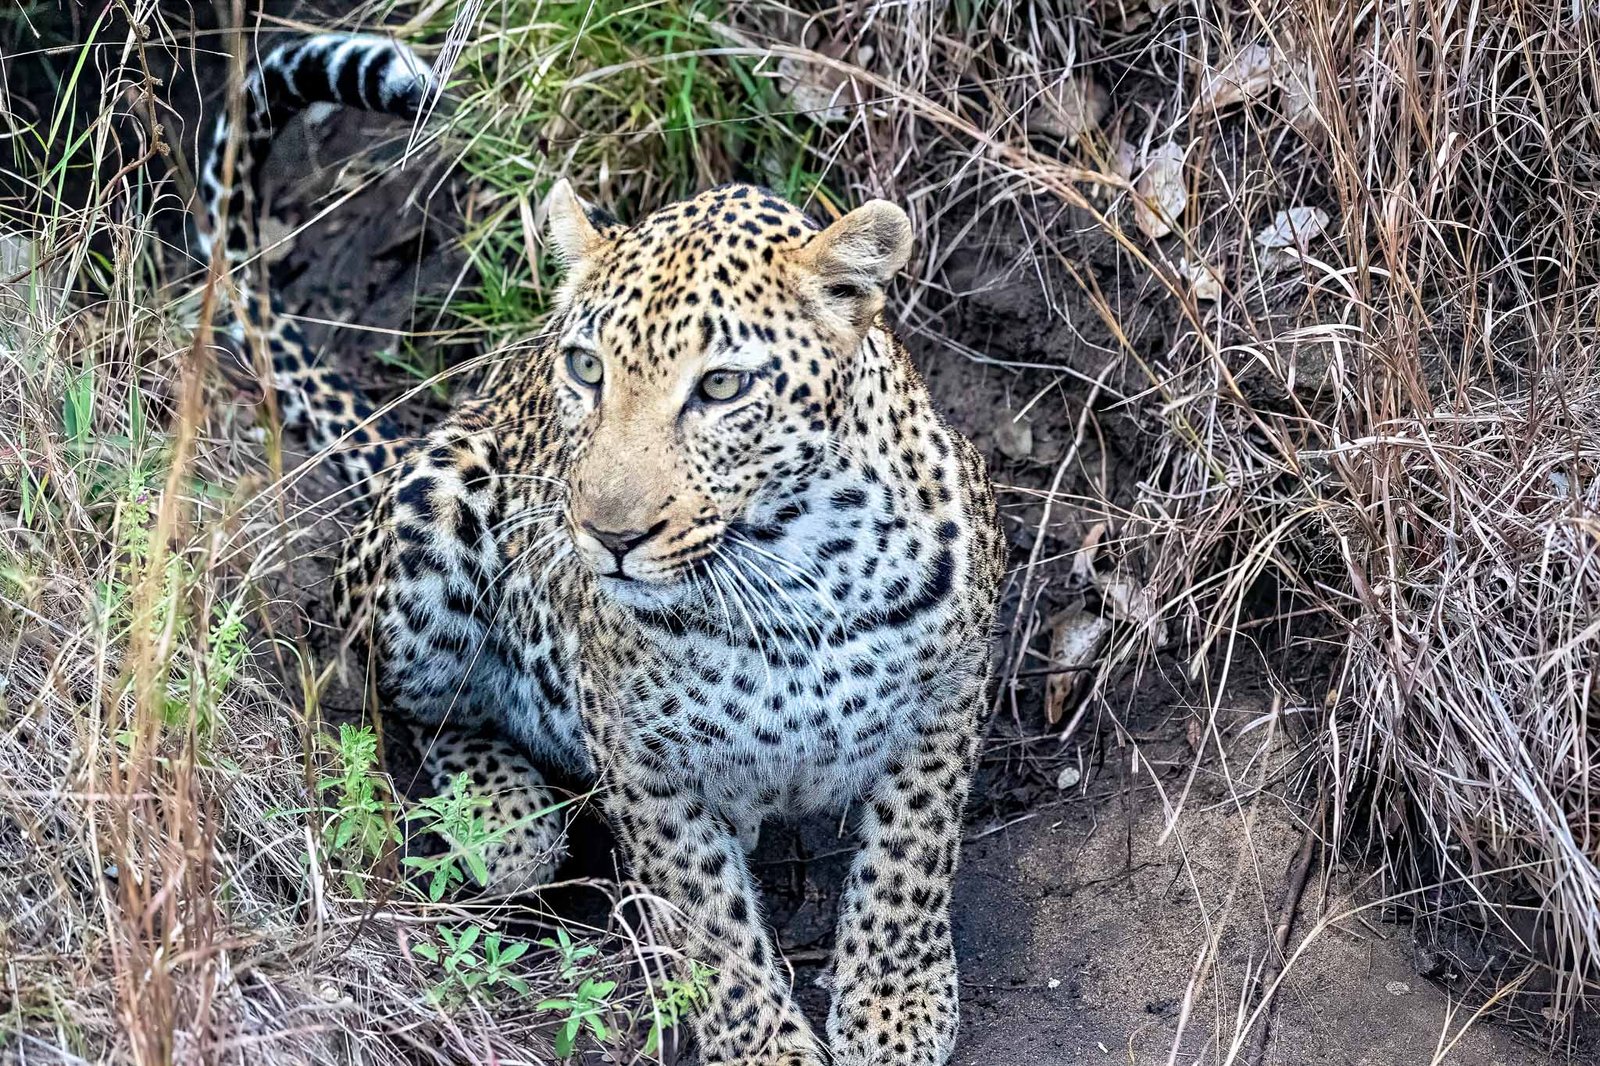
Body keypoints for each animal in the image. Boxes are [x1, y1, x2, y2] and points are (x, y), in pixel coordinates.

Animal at [201, 32, 1006, 1066]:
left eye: (722, 386)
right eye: (587, 369)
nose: (609, 536)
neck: (796, 568)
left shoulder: (949, 701)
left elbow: (913, 857)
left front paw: (894, 1007)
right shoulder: (645, 766)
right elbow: (712, 930)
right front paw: (770, 1046)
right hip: (435, 505)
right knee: (400, 696)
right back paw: (505, 819)